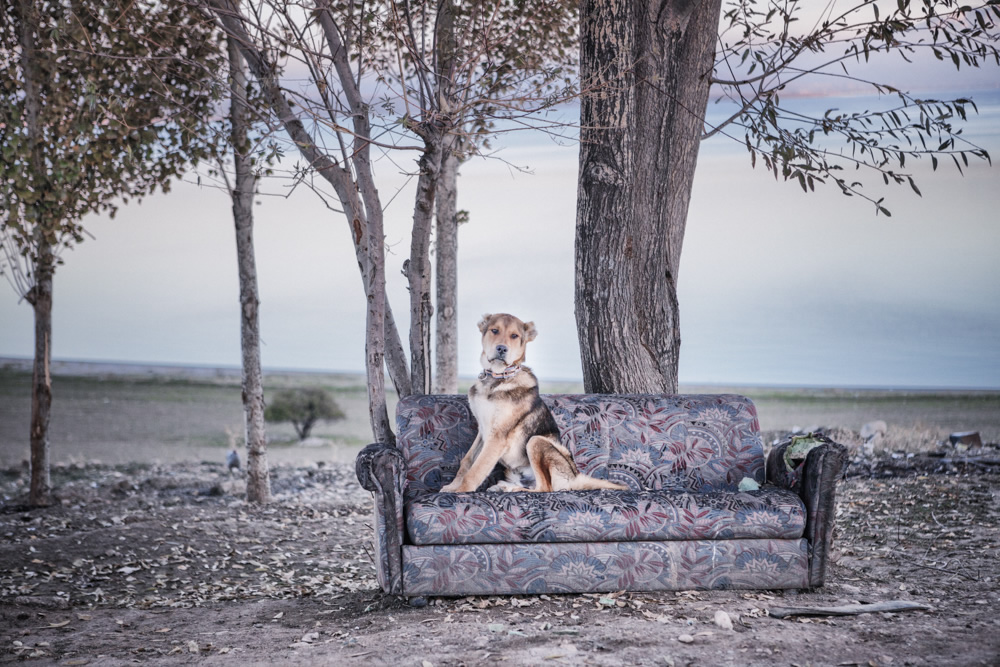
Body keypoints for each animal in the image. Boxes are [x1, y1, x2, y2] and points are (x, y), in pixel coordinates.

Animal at [444, 314, 628, 496]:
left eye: (514, 336)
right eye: (494, 331)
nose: (502, 349)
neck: (497, 378)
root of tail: (574, 476)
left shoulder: (497, 437)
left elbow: (476, 470)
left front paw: (461, 491)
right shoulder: (483, 432)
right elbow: (467, 461)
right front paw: (452, 487)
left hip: (536, 441)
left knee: (544, 488)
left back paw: (511, 488)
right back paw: (503, 486)